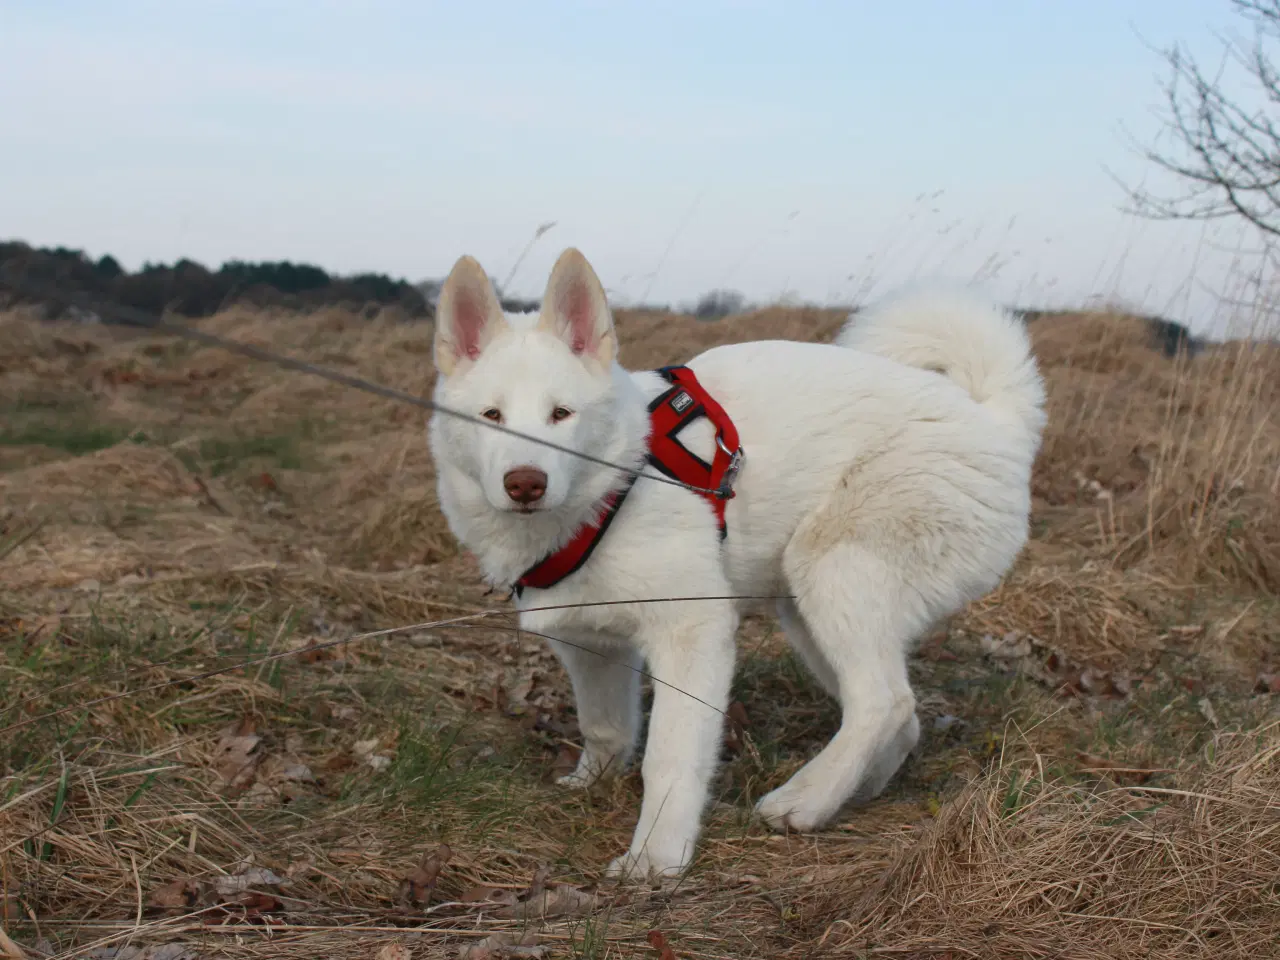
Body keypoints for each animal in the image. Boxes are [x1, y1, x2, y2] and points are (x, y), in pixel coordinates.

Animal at [424, 249, 1044, 885]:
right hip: (806, 614)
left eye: (561, 414)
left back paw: (803, 801)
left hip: (829, 575)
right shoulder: (590, 644)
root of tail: (996, 423)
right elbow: (605, 727)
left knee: (883, 702)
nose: (525, 483)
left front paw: (656, 857)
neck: (615, 485)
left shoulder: (691, 633)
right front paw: (590, 783)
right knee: (902, 712)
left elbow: (669, 757)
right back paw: (852, 791)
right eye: (491, 415)